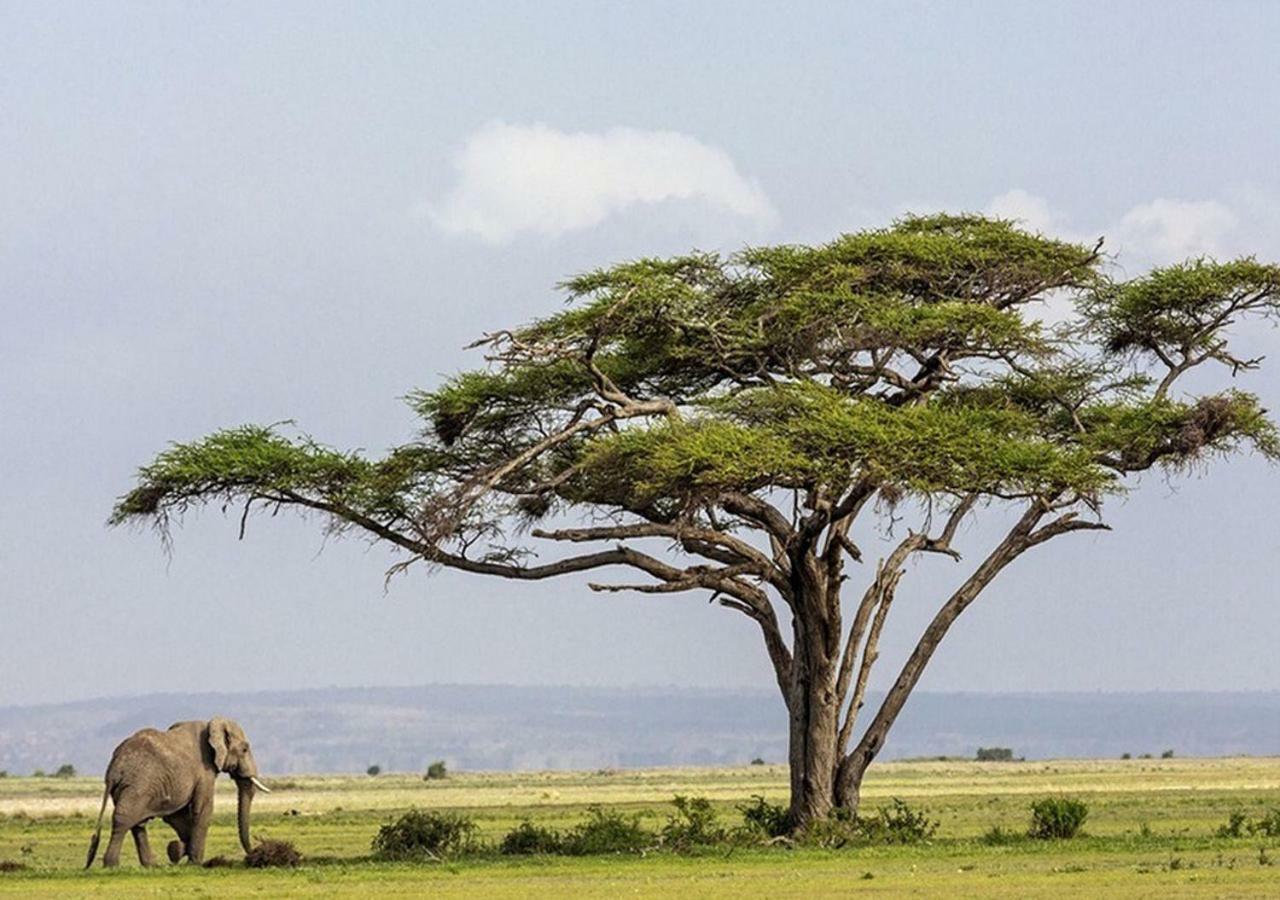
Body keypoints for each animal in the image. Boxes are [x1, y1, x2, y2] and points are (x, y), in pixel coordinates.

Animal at [83, 716, 272, 865]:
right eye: (245, 749)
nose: (256, 851)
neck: (211, 725)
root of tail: (115, 766)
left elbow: (176, 815)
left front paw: (176, 850)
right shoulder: (204, 771)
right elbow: (202, 810)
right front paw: (194, 862)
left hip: (132, 787)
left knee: (137, 823)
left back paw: (151, 865)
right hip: (138, 784)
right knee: (123, 820)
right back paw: (112, 865)